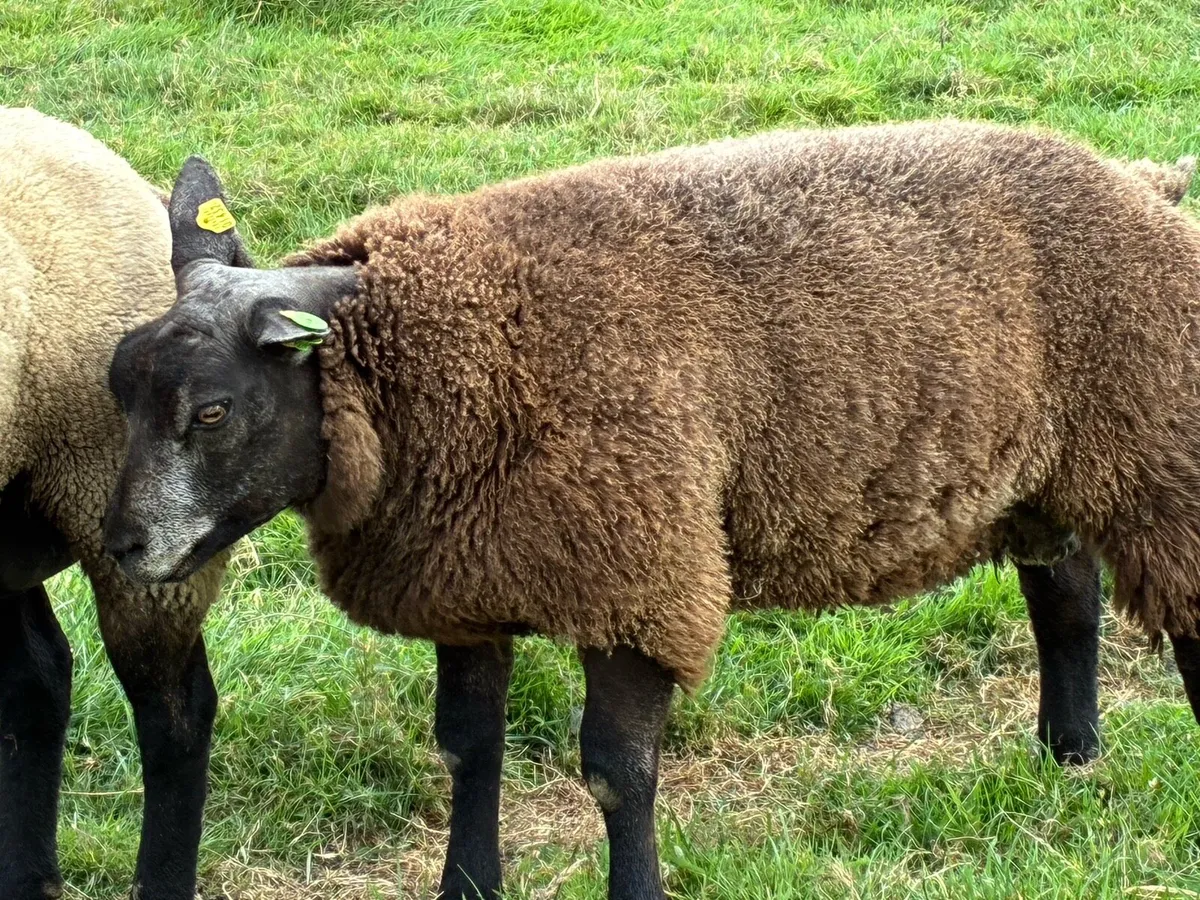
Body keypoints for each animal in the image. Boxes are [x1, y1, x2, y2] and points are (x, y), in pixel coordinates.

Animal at [104, 120, 1200, 900]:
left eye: (212, 409)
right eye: (118, 387)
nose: (120, 546)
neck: (448, 363)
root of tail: (1141, 180)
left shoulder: (638, 573)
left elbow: (615, 773)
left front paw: (635, 889)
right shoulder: (467, 582)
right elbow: (466, 748)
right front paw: (468, 886)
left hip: (1154, 439)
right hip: (1050, 467)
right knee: (1065, 594)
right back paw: (1070, 756)